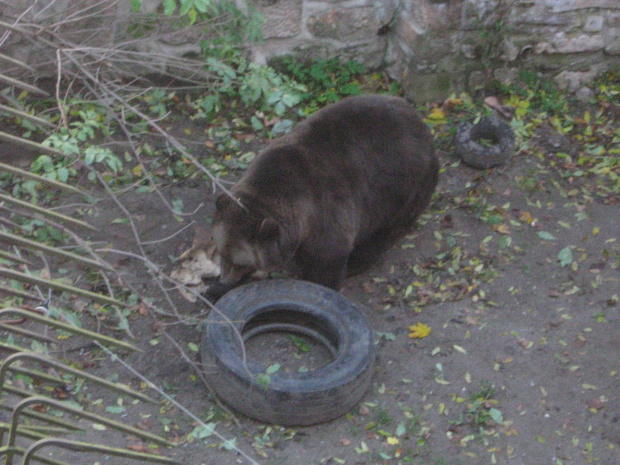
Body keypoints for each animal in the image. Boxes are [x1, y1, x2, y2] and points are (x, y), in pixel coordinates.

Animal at [211, 94, 438, 294]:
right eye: (221, 253)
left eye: (239, 262)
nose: (224, 280)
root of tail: (422, 123)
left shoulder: (326, 212)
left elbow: (328, 259)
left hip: (404, 188)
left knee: (386, 230)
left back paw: (358, 261)